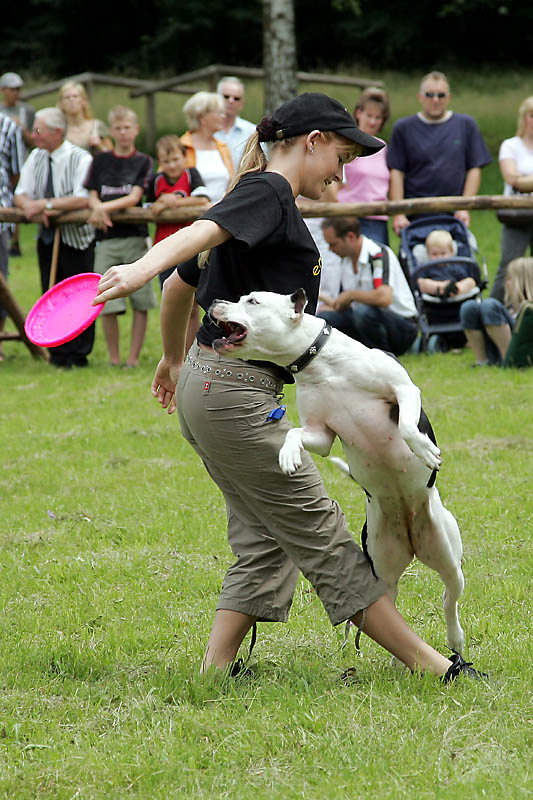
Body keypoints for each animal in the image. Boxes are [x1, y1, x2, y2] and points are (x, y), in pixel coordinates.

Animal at [210, 290, 464, 652]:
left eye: (253, 301)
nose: (215, 301)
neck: (322, 364)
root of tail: (412, 536)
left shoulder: (403, 389)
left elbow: (405, 424)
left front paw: (422, 448)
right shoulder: (320, 434)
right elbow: (294, 433)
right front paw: (287, 455)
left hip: (448, 557)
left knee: (449, 599)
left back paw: (455, 638)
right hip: (383, 568)